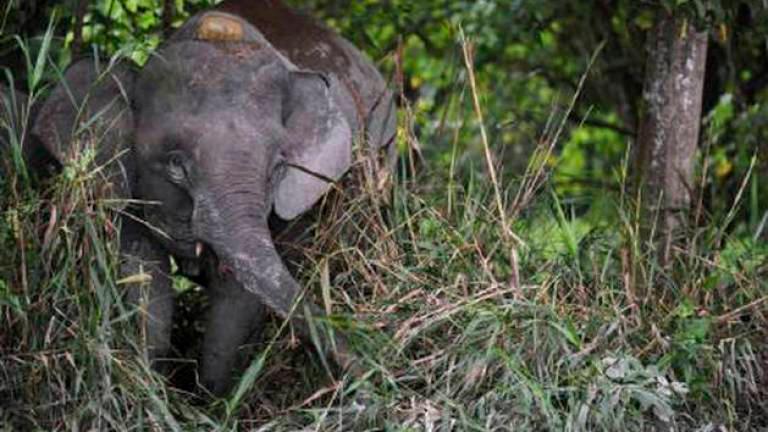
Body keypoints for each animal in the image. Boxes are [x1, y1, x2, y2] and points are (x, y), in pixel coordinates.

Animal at [29, 0, 396, 395]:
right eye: (175, 164)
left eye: (277, 168)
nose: (373, 373)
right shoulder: (122, 180)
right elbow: (142, 274)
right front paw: (152, 386)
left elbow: (237, 295)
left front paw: (212, 398)